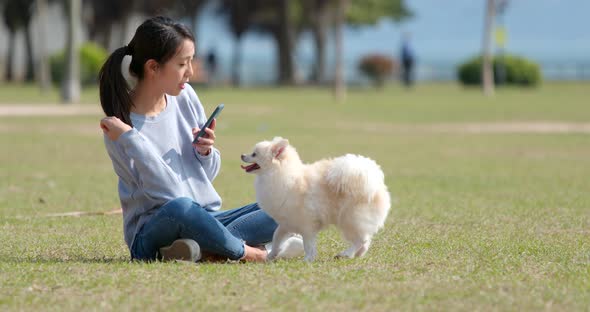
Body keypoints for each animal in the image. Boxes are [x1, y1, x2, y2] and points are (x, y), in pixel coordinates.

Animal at [242, 138, 394, 262]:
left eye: (254, 154)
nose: (242, 155)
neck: (280, 175)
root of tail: (374, 182)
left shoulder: (307, 225)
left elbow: (308, 245)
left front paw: (308, 259)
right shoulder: (286, 224)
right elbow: (276, 239)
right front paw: (271, 256)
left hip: (350, 219)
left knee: (361, 240)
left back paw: (346, 253)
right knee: (365, 241)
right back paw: (356, 254)